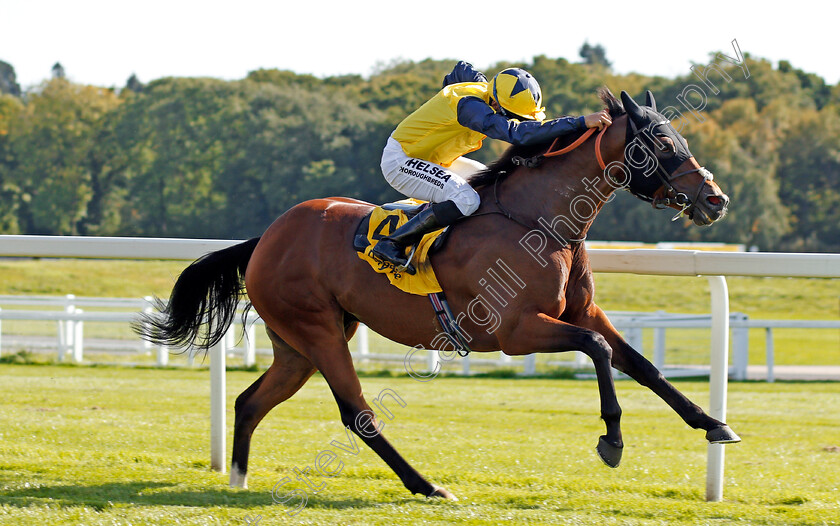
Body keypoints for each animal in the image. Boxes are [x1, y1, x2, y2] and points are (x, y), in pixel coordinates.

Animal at [138, 89, 740, 504]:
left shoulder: (581, 310)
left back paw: (238, 479)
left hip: (299, 344)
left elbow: (640, 363)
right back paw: (428, 486)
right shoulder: (515, 330)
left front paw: (714, 424)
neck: (539, 221)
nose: (715, 199)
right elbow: (597, 349)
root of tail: (266, 237)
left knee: (250, 401)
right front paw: (612, 441)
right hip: (317, 331)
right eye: (662, 143)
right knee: (358, 414)